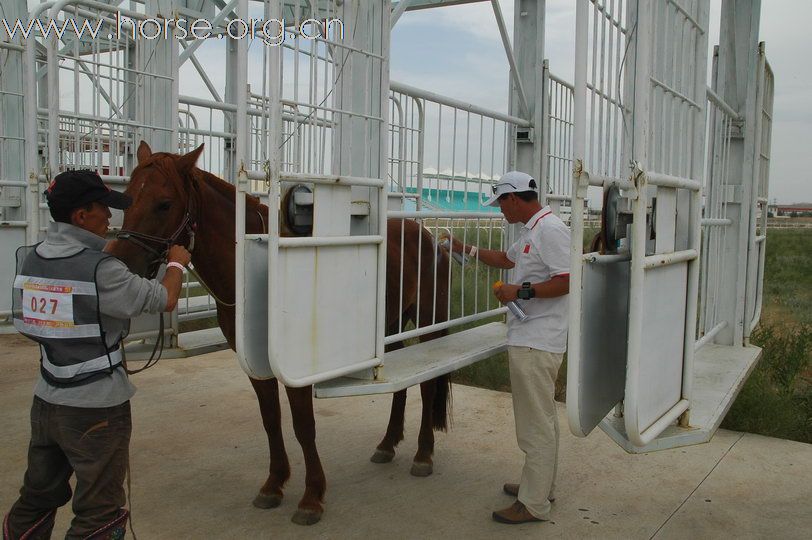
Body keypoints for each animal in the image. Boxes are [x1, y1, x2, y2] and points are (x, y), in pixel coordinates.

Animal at [106, 141, 450, 524]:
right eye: (128, 199)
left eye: (164, 203)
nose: (123, 265)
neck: (256, 273)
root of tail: (427, 236)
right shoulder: (256, 364)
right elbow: (271, 420)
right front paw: (273, 484)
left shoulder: (296, 368)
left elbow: (303, 425)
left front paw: (312, 497)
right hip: (389, 326)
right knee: (401, 387)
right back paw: (387, 444)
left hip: (429, 320)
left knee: (429, 384)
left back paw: (423, 454)